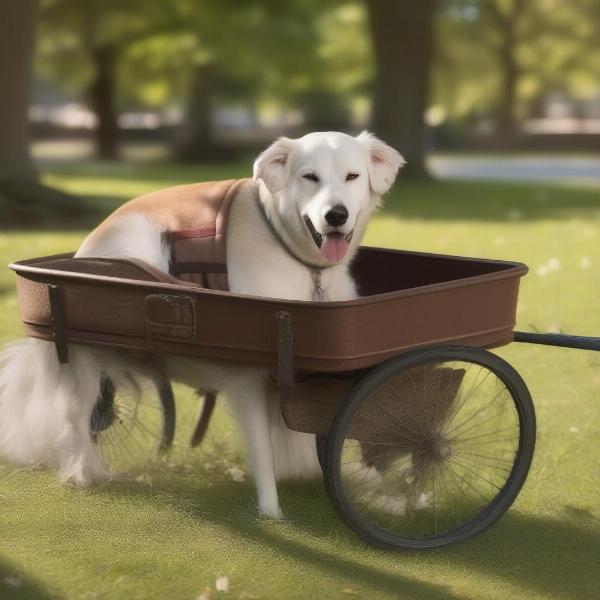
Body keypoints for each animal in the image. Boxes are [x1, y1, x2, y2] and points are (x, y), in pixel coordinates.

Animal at [1, 131, 404, 520]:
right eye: (310, 177)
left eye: (352, 176)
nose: (336, 215)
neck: (300, 261)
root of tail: (83, 252)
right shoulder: (250, 378)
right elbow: (266, 450)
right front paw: (272, 513)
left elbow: (303, 434)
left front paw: (364, 488)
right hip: (137, 256)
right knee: (78, 418)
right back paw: (84, 474)